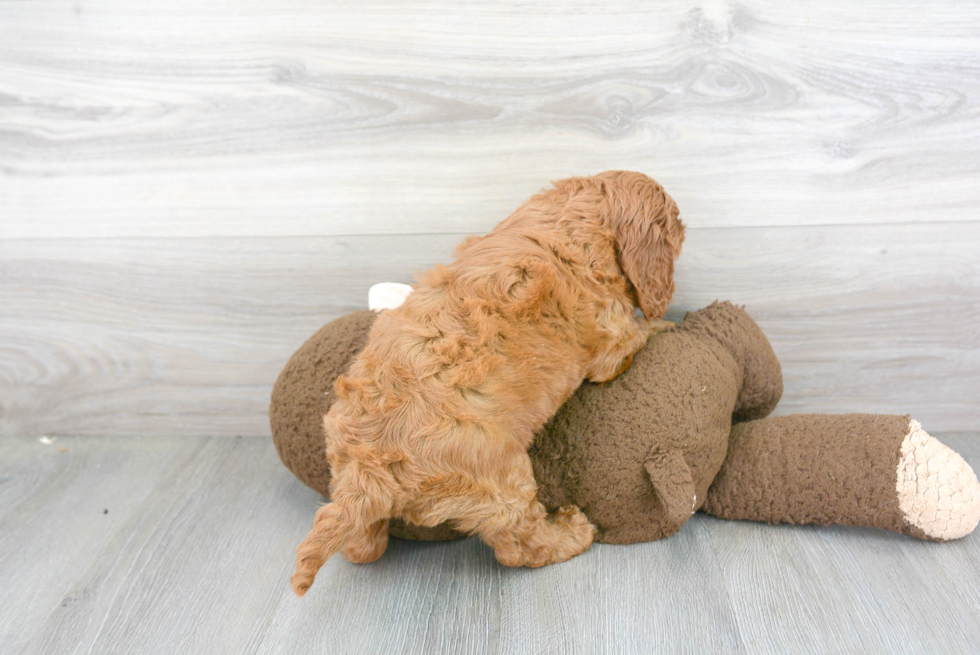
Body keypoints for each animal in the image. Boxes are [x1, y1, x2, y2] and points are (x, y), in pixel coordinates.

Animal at [294, 170, 684, 596]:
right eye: (675, 222)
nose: (685, 229)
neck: (569, 218)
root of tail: (368, 472)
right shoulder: (611, 340)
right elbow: (638, 331)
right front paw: (669, 324)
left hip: (340, 464)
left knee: (363, 546)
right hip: (504, 482)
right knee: (521, 546)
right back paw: (572, 532)